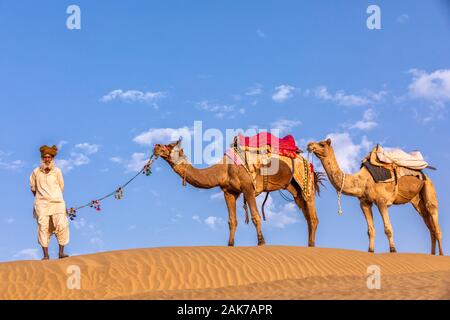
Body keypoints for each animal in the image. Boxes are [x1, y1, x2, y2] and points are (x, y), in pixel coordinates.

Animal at [153, 139, 322, 246]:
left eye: (169, 145)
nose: (156, 146)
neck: (224, 169)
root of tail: (307, 162)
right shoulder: (229, 193)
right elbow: (231, 221)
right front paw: (230, 244)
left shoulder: (248, 187)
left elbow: (255, 216)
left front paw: (261, 242)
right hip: (294, 188)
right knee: (307, 215)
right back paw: (310, 244)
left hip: (305, 182)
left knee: (312, 216)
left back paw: (312, 245)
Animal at [306, 138, 442, 255]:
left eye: (322, 144)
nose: (309, 145)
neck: (363, 181)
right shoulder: (364, 203)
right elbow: (370, 230)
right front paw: (370, 251)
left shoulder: (381, 201)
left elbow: (388, 228)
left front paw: (393, 250)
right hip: (417, 200)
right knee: (429, 225)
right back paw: (432, 254)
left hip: (429, 188)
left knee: (435, 221)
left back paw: (441, 254)